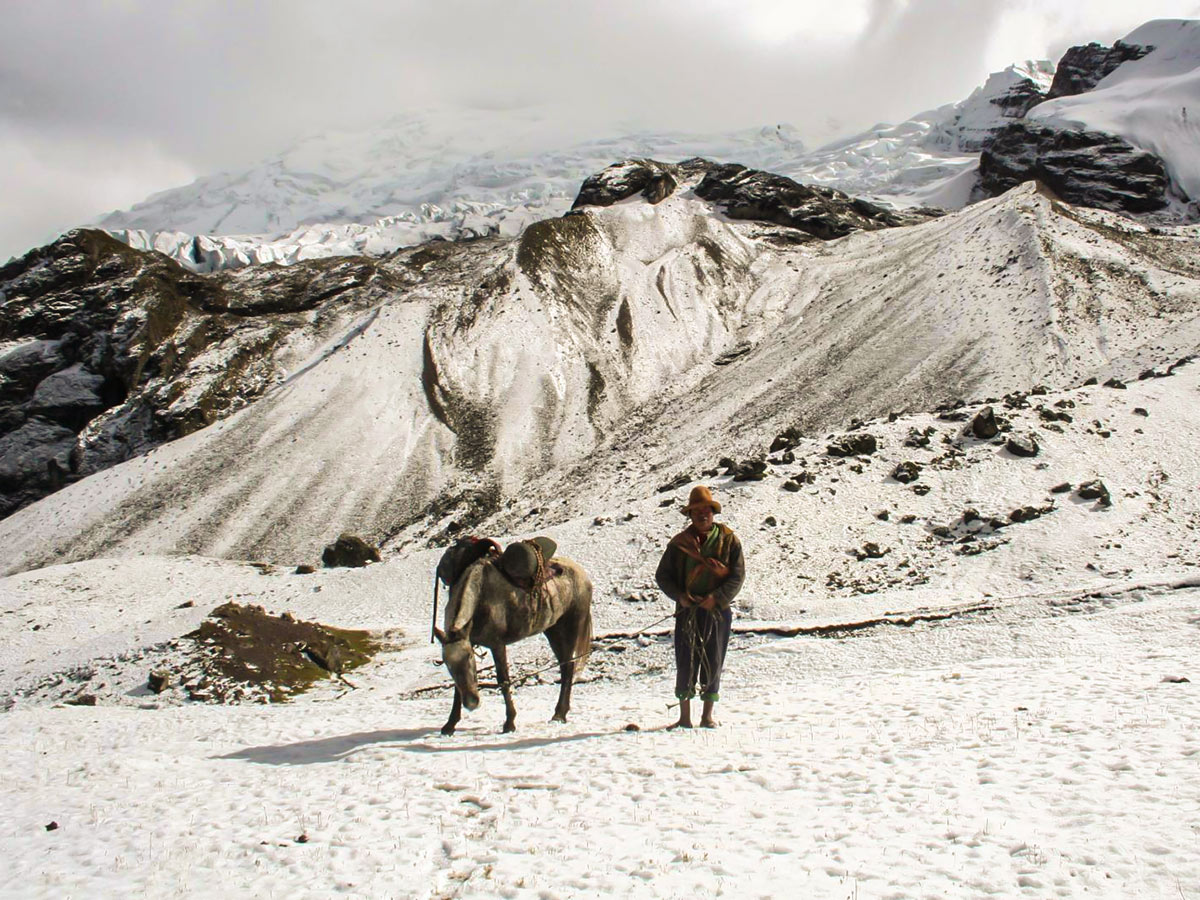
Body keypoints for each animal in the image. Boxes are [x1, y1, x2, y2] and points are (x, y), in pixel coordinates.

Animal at [436, 540, 595, 734]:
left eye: (469, 659)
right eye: (448, 664)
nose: (472, 703)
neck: (481, 597)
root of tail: (582, 573)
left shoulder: (497, 644)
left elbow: (503, 680)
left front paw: (509, 723)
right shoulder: (469, 641)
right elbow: (456, 688)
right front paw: (450, 724)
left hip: (572, 625)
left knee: (568, 667)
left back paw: (559, 714)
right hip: (553, 630)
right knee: (566, 666)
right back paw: (559, 714)